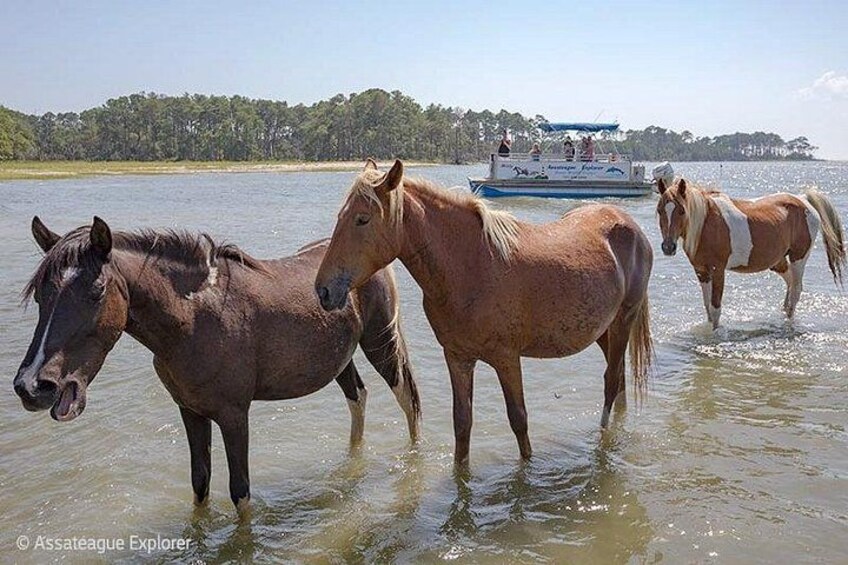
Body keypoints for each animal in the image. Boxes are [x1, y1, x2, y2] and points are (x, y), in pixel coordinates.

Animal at [13, 217, 421, 513]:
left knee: (408, 401)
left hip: (379, 344)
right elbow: (200, 483)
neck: (194, 319)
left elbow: (240, 492)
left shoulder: (234, 414)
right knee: (358, 397)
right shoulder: (191, 411)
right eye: (41, 294)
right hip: (340, 358)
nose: (32, 385)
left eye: (96, 291)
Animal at [315, 159, 653, 464]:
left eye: (362, 219)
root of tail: (629, 225)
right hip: (603, 330)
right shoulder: (458, 358)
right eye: (341, 216)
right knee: (618, 380)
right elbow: (462, 424)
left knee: (611, 382)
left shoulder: (506, 359)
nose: (323, 290)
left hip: (623, 321)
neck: (473, 265)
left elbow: (518, 420)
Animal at [656, 178, 846, 328]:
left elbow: (715, 308)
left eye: (682, 211)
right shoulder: (701, 271)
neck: (706, 223)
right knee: (790, 283)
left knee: (796, 291)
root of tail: (803, 199)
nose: (668, 247)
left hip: (798, 258)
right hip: (777, 262)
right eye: (659, 210)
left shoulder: (718, 271)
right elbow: (707, 307)